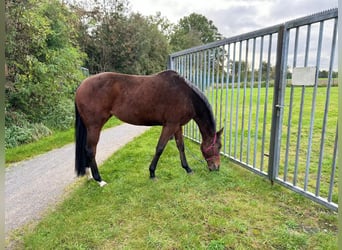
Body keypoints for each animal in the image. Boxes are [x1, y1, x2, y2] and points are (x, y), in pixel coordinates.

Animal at [75, 69, 223, 187]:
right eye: (218, 146)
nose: (216, 168)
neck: (187, 96)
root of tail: (81, 85)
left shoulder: (177, 126)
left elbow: (181, 146)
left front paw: (188, 169)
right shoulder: (170, 125)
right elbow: (160, 148)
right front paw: (152, 173)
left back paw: (89, 176)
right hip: (95, 125)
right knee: (91, 150)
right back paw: (99, 180)